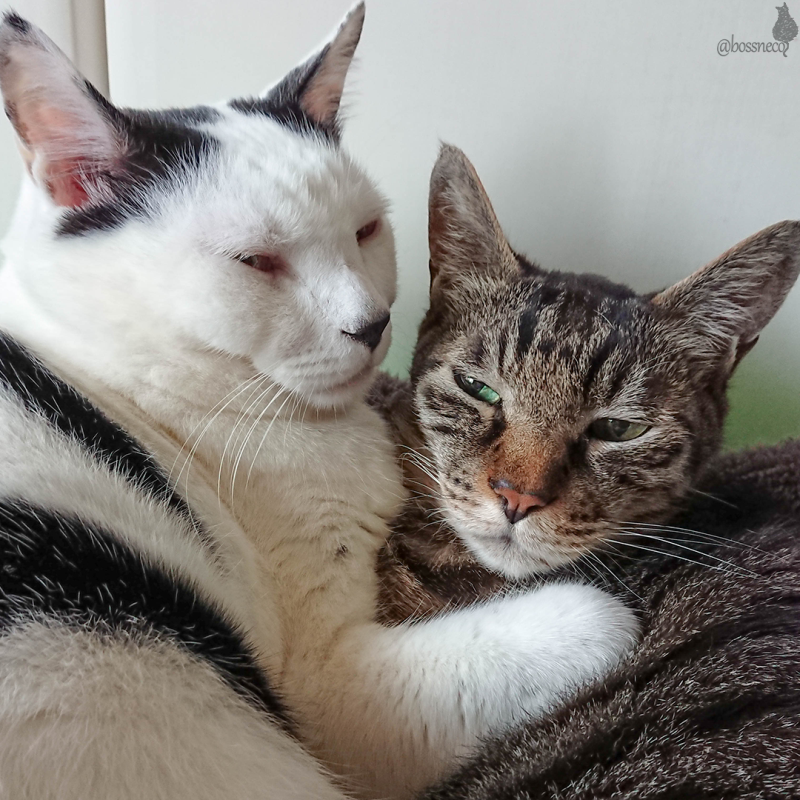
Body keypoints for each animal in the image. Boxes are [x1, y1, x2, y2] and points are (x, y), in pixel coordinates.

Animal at [0, 11, 638, 800]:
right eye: (255, 261)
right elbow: (594, 621)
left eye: (366, 229)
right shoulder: (325, 684)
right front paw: (615, 615)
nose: (371, 324)